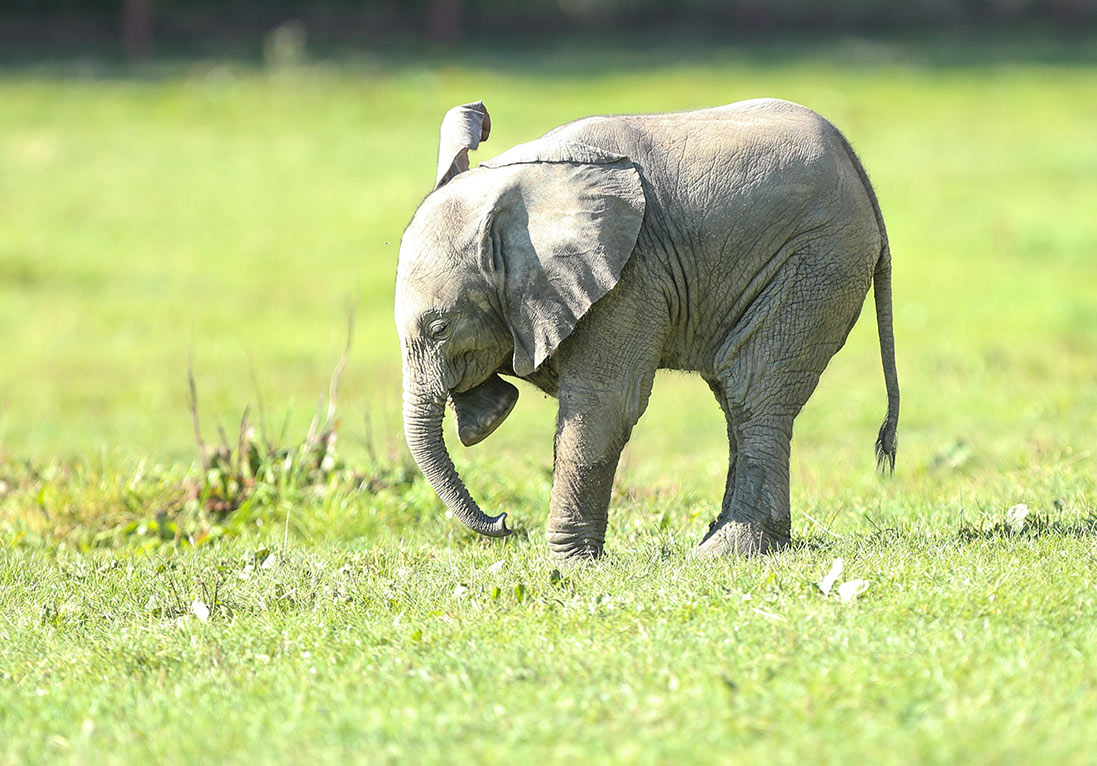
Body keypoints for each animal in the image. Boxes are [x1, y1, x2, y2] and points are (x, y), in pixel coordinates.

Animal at [395, 98, 899, 562]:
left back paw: (726, 552)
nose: (503, 522)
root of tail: (860, 172)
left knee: (754, 390)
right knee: (734, 396)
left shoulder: (630, 274)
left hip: (817, 260)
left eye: (440, 328)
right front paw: (488, 413)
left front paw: (568, 566)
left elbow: (605, 404)